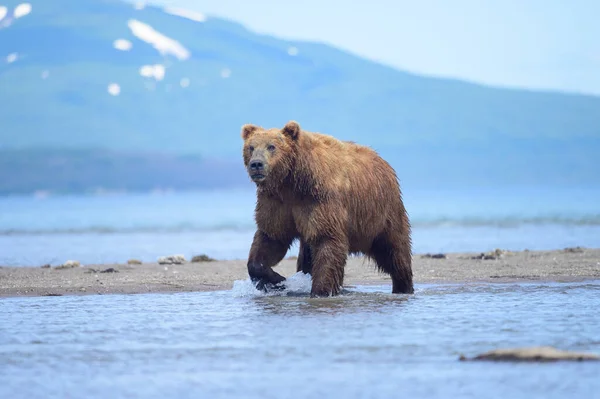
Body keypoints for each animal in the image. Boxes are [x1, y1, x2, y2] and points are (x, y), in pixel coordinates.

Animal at [239, 120, 412, 298]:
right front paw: (277, 281)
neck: (292, 182)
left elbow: (327, 241)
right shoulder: (276, 202)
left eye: (271, 146)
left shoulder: (321, 200)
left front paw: (319, 291)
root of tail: (383, 162)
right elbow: (271, 238)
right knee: (307, 254)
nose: (256, 164)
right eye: (251, 147)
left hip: (383, 213)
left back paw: (403, 286)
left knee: (394, 250)